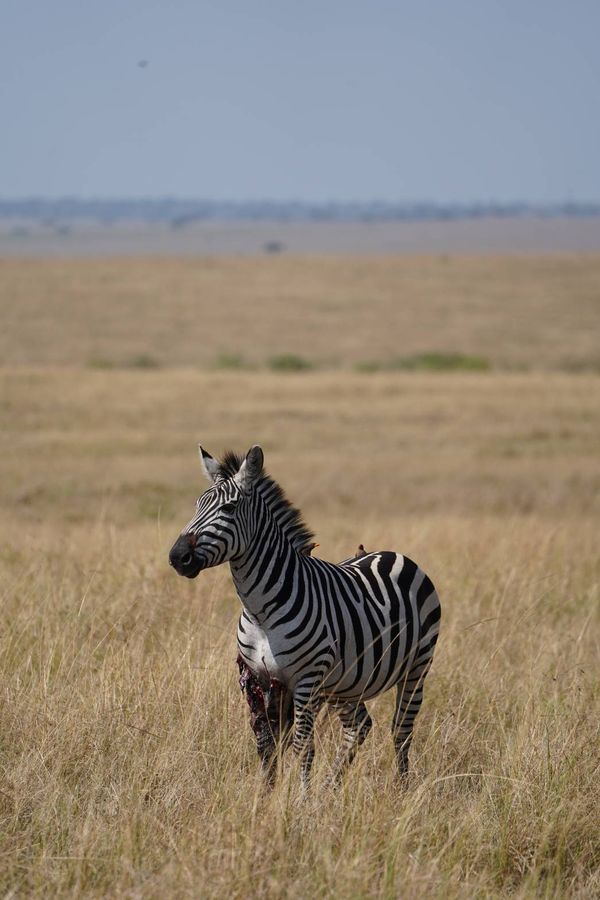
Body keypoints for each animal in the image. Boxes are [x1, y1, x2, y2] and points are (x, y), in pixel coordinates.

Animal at [169, 445, 441, 788]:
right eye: (196, 506)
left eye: (229, 508)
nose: (177, 557)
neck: (260, 611)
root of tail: (388, 553)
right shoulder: (258, 677)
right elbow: (266, 743)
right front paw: (268, 794)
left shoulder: (305, 681)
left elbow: (302, 745)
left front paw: (300, 797)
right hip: (345, 681)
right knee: (359, 726)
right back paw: (331, 789)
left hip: (416, 668)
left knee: (402, 729)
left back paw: (401, 789)